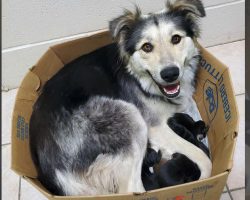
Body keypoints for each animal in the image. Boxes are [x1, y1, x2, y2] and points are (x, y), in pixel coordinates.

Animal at [30, 0, 212, 196]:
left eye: (176, 39)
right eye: (147, 47)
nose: (170, 74)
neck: (140, 78)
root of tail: (55, 173)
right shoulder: (155, 127)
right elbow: (205, 160)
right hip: (129, 116)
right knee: (131, 189)